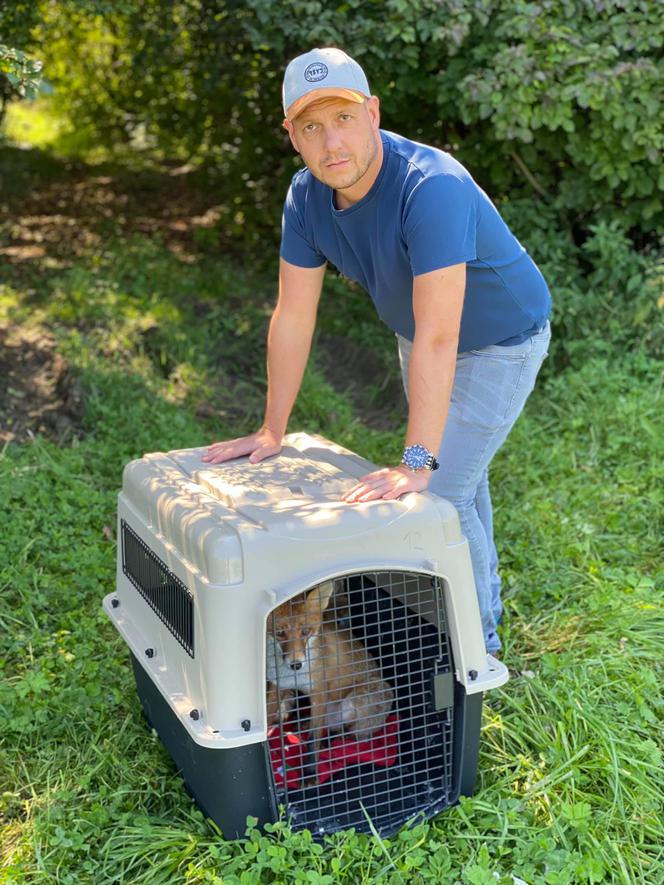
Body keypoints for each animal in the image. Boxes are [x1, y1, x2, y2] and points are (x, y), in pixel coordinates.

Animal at [266, 580, 394, 780]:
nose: (296, 664)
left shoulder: (320, 693)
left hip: (356, 699)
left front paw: (310, 774)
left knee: (352, 734)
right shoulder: (277, 687)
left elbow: (313, 740)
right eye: (279, 632)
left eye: (305, 631)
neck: (293, 676)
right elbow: (267, 717)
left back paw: (332, 740)